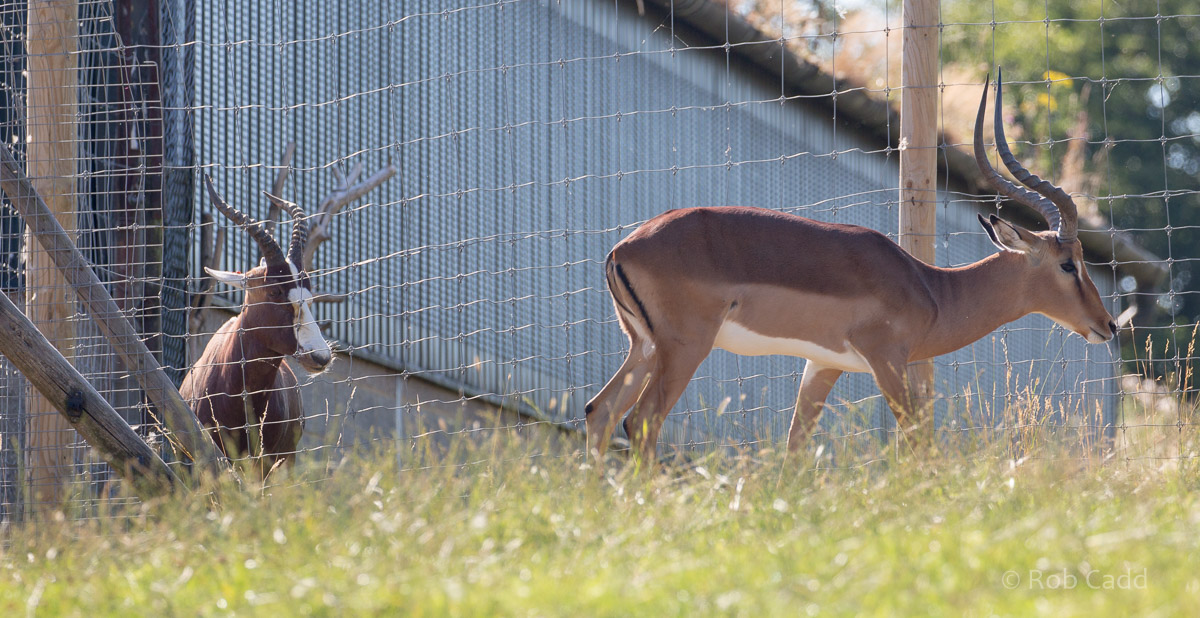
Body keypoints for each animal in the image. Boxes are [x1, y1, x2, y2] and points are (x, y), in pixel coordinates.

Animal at [585, 75, 1118, 464]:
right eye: (1068, 264)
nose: (1108, 325)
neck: (931, 289)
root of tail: (623, 248)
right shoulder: (886, 359)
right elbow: (918, 441)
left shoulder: (824, 364)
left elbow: (795, 448)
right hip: (684, 347)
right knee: (640, 422)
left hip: (645, 346)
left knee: (599, 413)